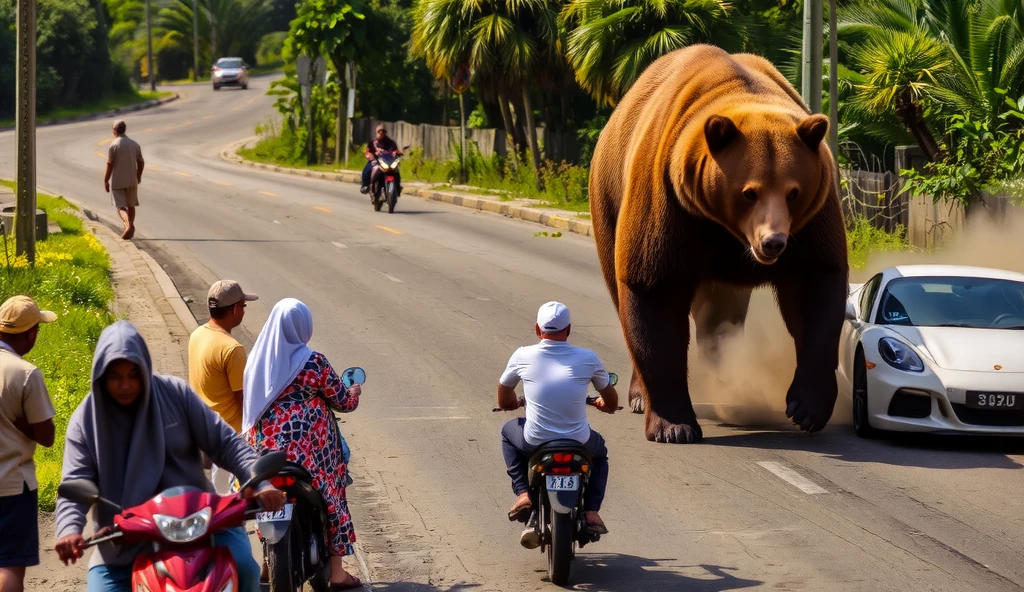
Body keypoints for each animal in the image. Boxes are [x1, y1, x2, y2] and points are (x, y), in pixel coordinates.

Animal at [589, 43, 851, 440]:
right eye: (749, 192)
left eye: (793, 192)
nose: (773, 242)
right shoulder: (671, 205)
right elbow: (654, 291)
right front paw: (674, 425)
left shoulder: (811, 222)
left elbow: (814, 289)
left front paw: (806, 408)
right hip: (609, 200)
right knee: (621, 290)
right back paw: (639, 395)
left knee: (719, 317)